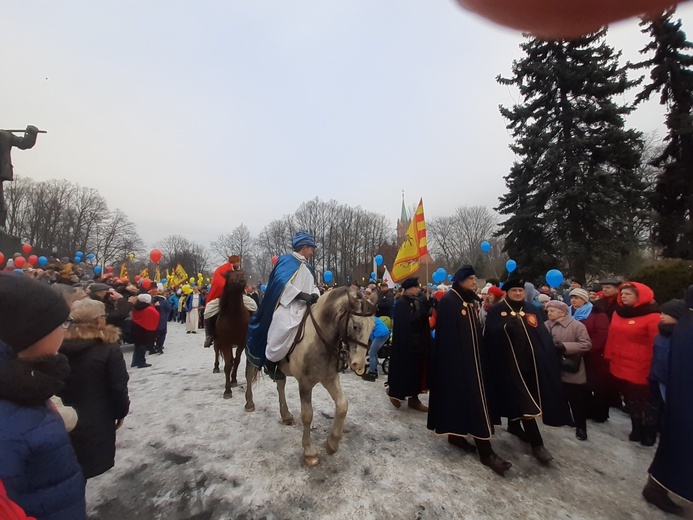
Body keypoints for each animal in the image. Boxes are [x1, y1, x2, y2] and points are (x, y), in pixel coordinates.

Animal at [215, 268, 253, 398]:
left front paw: (234, 380)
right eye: (230, 276)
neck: (234, 316)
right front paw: (227, 390)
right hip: (218, 342)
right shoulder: (225, 343)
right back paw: (216, 367)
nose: (242, 278)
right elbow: (227, 365)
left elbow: (236, 361)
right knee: (216, 352)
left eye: (242, 273)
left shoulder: (241, 343)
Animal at [243, 288, 374, 468]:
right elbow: (307, 415)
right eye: (355, 325)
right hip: (251, 356)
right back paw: (249, 403)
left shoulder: (329, 378)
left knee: (280, 385)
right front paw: (309, 452)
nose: (358, 364)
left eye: (372, 328)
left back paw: (286, 415)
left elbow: (342, 405)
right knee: (249, 377)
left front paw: (332, 443)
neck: (320, 340)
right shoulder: (305, 384)